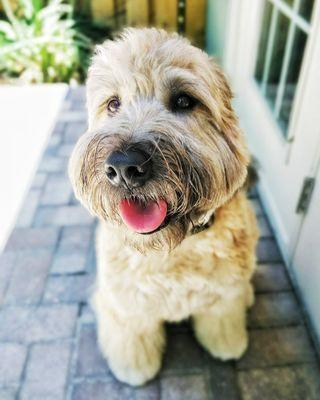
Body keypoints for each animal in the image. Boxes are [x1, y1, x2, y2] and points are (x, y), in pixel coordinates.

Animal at [69, 27, 258, 384]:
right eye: (113, 104)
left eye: (184, 101)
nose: (123, 167)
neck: (172, 250)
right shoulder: (125, 304)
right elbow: (132, 335)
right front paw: (134, 368)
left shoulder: (223, 297)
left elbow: (223, 319)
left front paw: (228, 344)